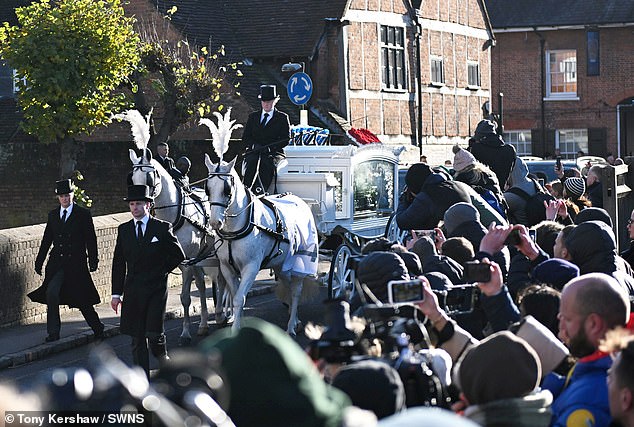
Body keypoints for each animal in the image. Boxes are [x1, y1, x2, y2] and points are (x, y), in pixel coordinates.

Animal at [130, 149, 226, 346]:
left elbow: (185, 298)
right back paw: (204, 324)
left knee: (223, 281)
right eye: (132, 178)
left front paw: (185, 333)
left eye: (149, 178)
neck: (176, 214)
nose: (138, 201)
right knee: (202, 286)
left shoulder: (187, 262)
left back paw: (223, 314)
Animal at [205, 155, 318, 336]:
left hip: (299, 262)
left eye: (227, 189)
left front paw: (235, 330)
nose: (215, 222)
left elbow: (239, 298)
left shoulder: (251, 267)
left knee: (296, 291)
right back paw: (296, 320)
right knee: (288, 287)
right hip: (281, 265)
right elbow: (236, 296)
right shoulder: (227, 268)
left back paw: (291, 326)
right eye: (207, 189)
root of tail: (300, 201)